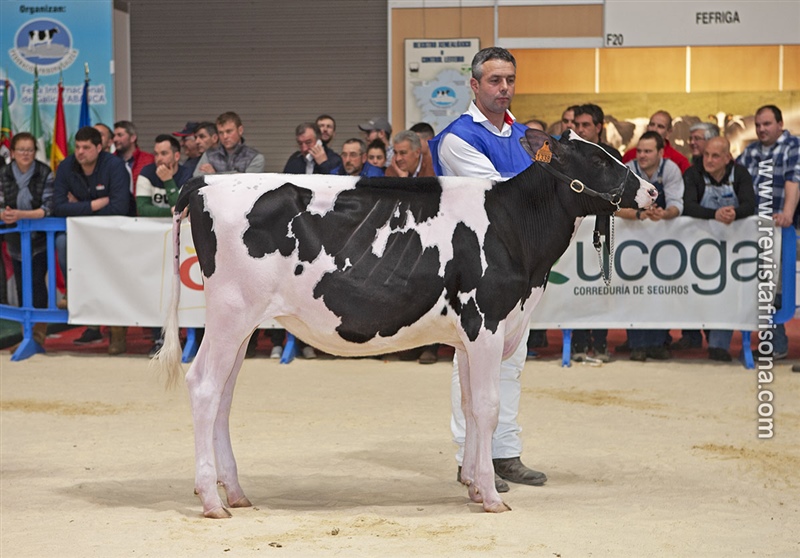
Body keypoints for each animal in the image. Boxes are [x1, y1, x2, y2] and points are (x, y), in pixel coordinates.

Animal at [152, 128, 656, 520]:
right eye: (597, 158)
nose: (652, 192)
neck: (514, 227)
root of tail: (204, 182)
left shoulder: (469, 335)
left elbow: (470, 406)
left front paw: (476, 487)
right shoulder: (487, 321)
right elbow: (489, 406)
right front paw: (492, 497)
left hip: (241, 324)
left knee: (223, 396)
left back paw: (235, 493)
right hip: (230, 313)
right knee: (203, 387)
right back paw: (211, 500)